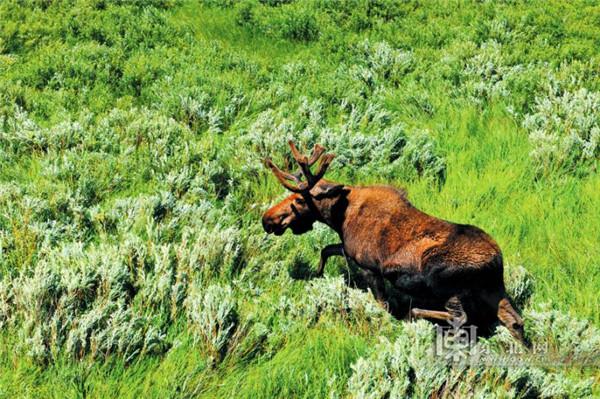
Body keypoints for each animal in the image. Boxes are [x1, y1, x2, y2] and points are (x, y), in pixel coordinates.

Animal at [262, 142, 524, 346]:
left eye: (298, 199)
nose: (267, 219)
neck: (338, 218)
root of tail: (496, 260)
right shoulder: (349, 251)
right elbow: (326, 250)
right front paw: (317, 274)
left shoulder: (370, 267)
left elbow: (382, 305)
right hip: (493, 289)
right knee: (515, 321)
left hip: (444, 283)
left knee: (460, 318)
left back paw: (415, 315)